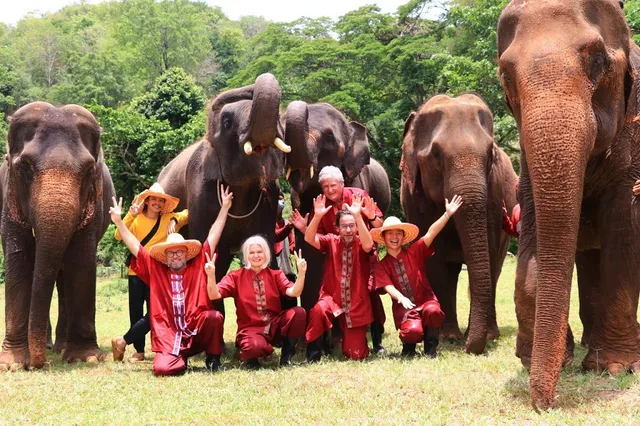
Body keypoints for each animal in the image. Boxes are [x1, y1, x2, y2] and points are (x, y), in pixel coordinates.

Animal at [0, 102, 115, 370]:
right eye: (24, 167)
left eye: (88, 171)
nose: (38, 364)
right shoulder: (9, 200)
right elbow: (18, 261)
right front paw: (13, 364)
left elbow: (81, 260)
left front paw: (86, 357)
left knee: (62, 278)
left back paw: (60, 347)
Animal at [400, 94, 518, 355]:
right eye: (436, 156)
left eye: (490, 154)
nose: (468, 348)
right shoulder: (414, 199)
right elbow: (434, 259)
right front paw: (448, 337)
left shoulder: (494, 194)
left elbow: (489, 252)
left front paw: (483, 337)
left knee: (495, 265)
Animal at [497, 0, 640, 409]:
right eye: (505, 75)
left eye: (598, 62)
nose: (545, 405)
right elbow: (533, 229)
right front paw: (534, 359)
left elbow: (624, 231)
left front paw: (617, 368)